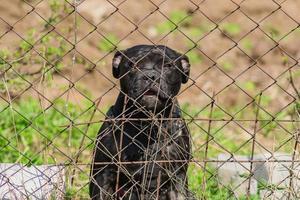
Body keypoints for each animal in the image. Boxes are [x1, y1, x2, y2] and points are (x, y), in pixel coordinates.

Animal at [89, 44, 192, 199]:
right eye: (133, 64)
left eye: (168, 65)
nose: (150, 76)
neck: (146, 123)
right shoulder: (103, 176)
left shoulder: (177, 177)